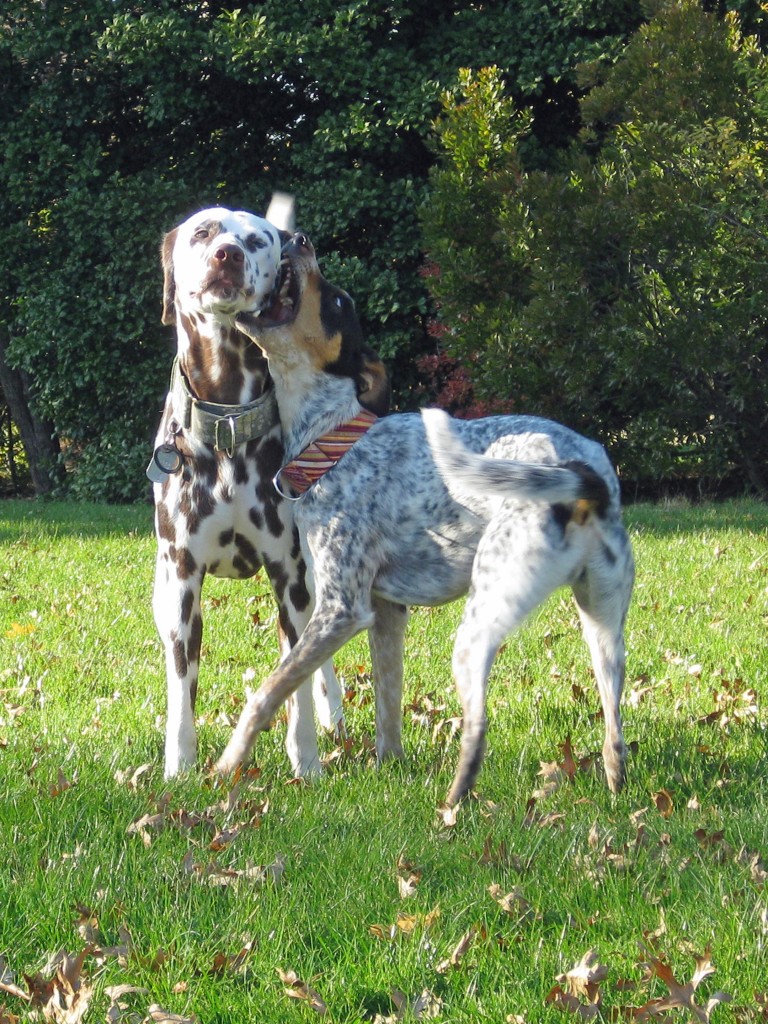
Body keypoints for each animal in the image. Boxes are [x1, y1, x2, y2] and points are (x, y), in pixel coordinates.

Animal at [151, 207, 391, 774]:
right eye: (203, 231)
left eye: (258, 239)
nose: (228, 254)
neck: (227, 424)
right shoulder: (182, 583)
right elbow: (181, 687)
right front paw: (179, 766)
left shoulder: (292, 578)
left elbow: (295, 683)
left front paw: (306, 761)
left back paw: (332, 717)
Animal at [217, 234, 638, 806]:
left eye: (338, 301)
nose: (300, 240)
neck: (334, 438)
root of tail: (582, 473)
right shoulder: (386, 612)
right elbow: (387, 706)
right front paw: (387, 768)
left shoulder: (341, 611)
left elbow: (267, 693)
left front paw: (227, 764)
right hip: (602, 623)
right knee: (614, 726)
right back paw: (612, 783)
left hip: (480, 624)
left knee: (478, 726)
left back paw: (455, 804)